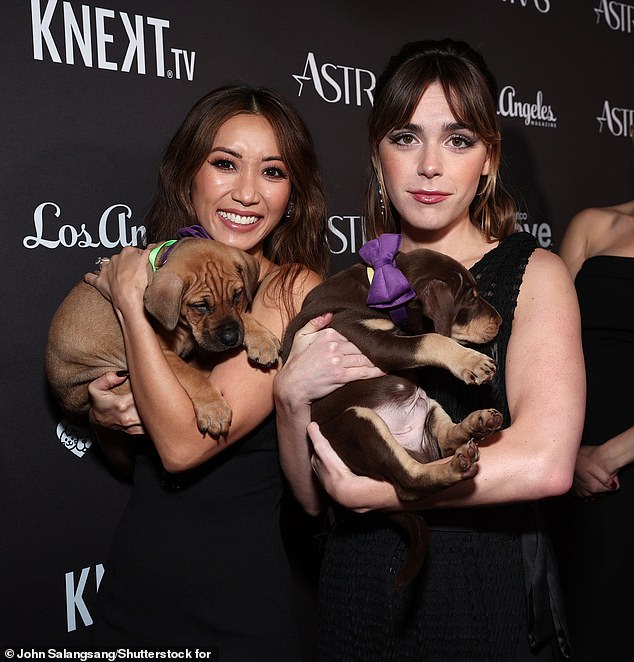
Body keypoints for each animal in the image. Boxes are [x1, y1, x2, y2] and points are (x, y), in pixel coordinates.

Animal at [45, 240, 278, 440]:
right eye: (200, 306)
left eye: (237, 295)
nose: (231, 338)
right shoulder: (164, 354)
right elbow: (195, 377)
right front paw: (214, 409)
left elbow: (242, 317)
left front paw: (262, 340)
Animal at [278, 245, 502, 588]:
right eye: (472, 298)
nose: (500, 321)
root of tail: (413, 447)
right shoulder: (367, 338)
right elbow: (432, 339)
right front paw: (471, 362)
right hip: (358, 421)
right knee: (409, 481)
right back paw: (453, 467)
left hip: (427, 404)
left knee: (445, 438)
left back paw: (477, 422)